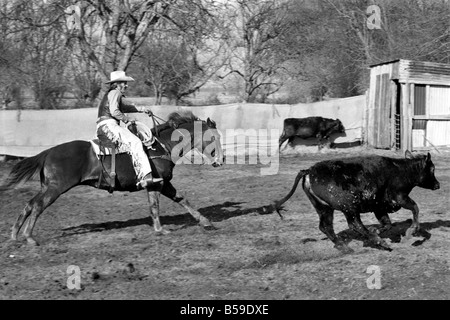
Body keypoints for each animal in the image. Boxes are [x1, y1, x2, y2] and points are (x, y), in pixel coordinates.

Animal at [4, 110, 224, 245]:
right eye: (213, 137)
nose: (220, 160)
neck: (162, 145)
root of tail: (48, 152)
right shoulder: (156, 184)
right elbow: (155, 206)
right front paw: (160, 230)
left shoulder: (162, 183)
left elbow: (181, 200)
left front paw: (206, 222)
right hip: (55, 188)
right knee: (37, 206)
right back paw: (29, 237)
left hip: (47, 187)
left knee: (30, 204)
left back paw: (14, 234)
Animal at [274, 151, 440, 254]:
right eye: (432, 169)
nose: (437, 185)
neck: (402, 171)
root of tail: (309, 170)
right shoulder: (399, 198)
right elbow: (415, 208)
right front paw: (412, 231)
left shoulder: (379, 207)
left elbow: (387, 224)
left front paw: (377, 230)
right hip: (349, 207)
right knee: (355, 225)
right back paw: (379, 242)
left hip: (324, 208)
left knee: (326, 226)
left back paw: (344, 247)